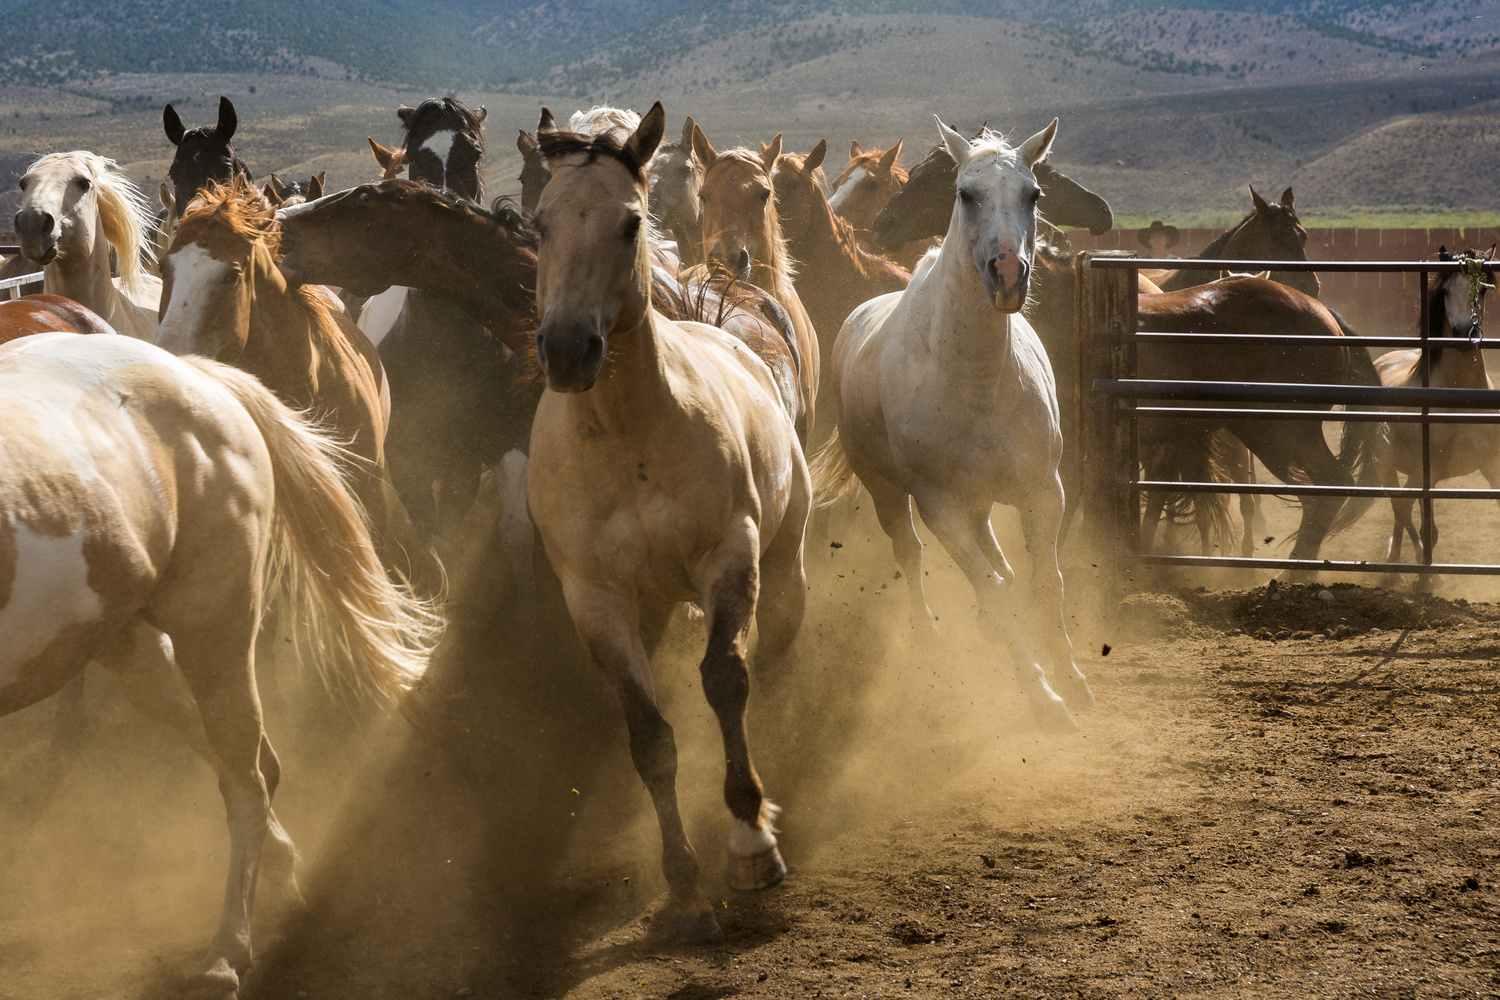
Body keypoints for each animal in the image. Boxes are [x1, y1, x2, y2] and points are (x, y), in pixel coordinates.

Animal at [0, 331, 434, 1000]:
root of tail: (195, 375)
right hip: (126, 643)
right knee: (251, 761)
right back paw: (282, 881)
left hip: (215, 628)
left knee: (245, 780)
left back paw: (227, 952)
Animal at [1375, 248, 1499, 589]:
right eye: (1444, 292)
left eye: (1483, 289)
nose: (1462, 333)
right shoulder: (1429, 468)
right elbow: (1425, 524)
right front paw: (1425, 579)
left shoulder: (1491, 464)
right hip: (1388, 465)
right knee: (1400, 506)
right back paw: (1402, 570)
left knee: (1402, 507)